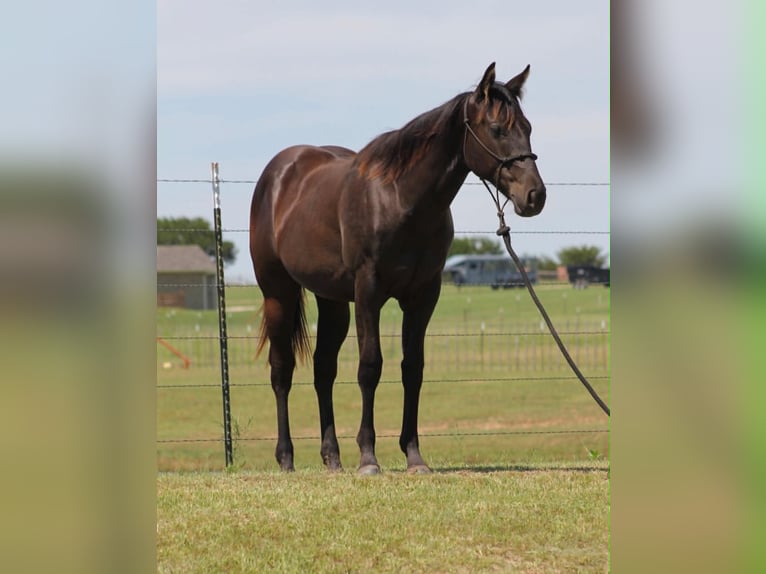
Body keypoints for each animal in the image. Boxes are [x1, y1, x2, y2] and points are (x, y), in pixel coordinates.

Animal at [249, 63, 546, 474]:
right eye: (497, 129)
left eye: (528, 127)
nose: (535, 196)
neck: (400, 200)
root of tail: (278, 174)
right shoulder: (369, 292)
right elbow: (370, 367)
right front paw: (368, 457)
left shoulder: (423, 296)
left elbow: (413, 369)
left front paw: (414, 456)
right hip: (278, 292)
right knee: (282, 371)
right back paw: (287, 458)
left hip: (333, 301)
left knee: (324, 370)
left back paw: (332, 457)